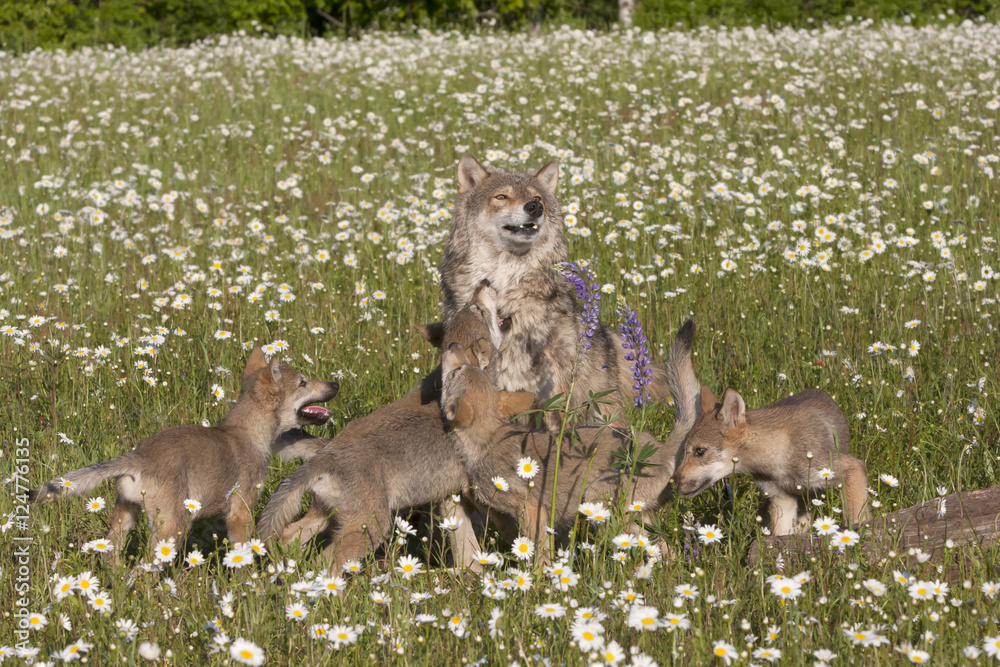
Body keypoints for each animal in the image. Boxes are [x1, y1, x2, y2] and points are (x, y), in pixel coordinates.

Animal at [29, 349, 339, 564]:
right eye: (303, 383)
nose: (335, 384)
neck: (247, 434)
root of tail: (138, 457)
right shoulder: (240, 513)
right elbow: (244, 555)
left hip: (125, 516)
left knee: (112, 560)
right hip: (171, 529)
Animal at [672, 387, 870, 535]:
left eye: (699, 451)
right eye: (685, 451)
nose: (673, 483)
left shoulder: (850, 468)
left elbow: (856, 518)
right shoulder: (781, 499)